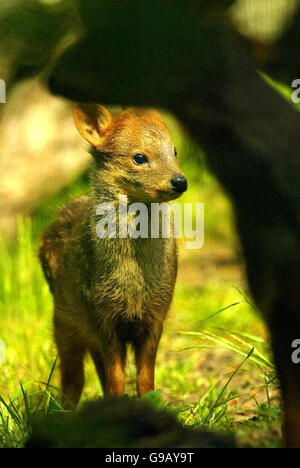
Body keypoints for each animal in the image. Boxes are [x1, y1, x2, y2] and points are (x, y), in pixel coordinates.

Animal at [38, 104, 186, 408]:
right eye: (139, 157)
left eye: (174, 150)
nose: (180, 181)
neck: (133, 287)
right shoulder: (102, 314)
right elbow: (116, 378)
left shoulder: (157, 313)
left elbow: (145, 379)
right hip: (63, 320)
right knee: (73, 378)